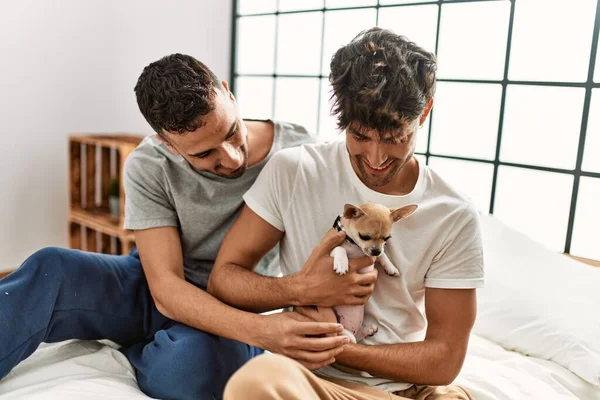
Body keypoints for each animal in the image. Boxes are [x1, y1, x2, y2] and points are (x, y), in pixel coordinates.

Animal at [328, 203, 418, 344]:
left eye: (387, 238)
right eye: (364, 237)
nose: (376, 250)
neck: (356, 247)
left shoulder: (379, 254)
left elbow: (383, 256)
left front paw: (391, 268)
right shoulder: (330, 251)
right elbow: (339, 248)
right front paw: (342, 264)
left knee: (358, 336)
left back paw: (368, 330)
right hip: (344, 333)